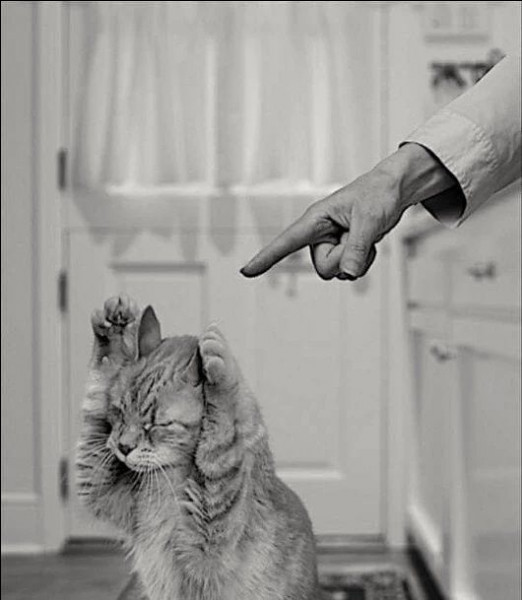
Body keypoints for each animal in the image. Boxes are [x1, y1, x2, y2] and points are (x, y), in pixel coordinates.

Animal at [76, 295, 323, 600]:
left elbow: (221, 439)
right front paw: (112, 326)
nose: (123, 447)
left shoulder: (214, 530)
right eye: (119, 411)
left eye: (157, 424)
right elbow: (102, 375)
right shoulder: (100, 483)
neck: (168, 479)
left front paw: (219, 370)